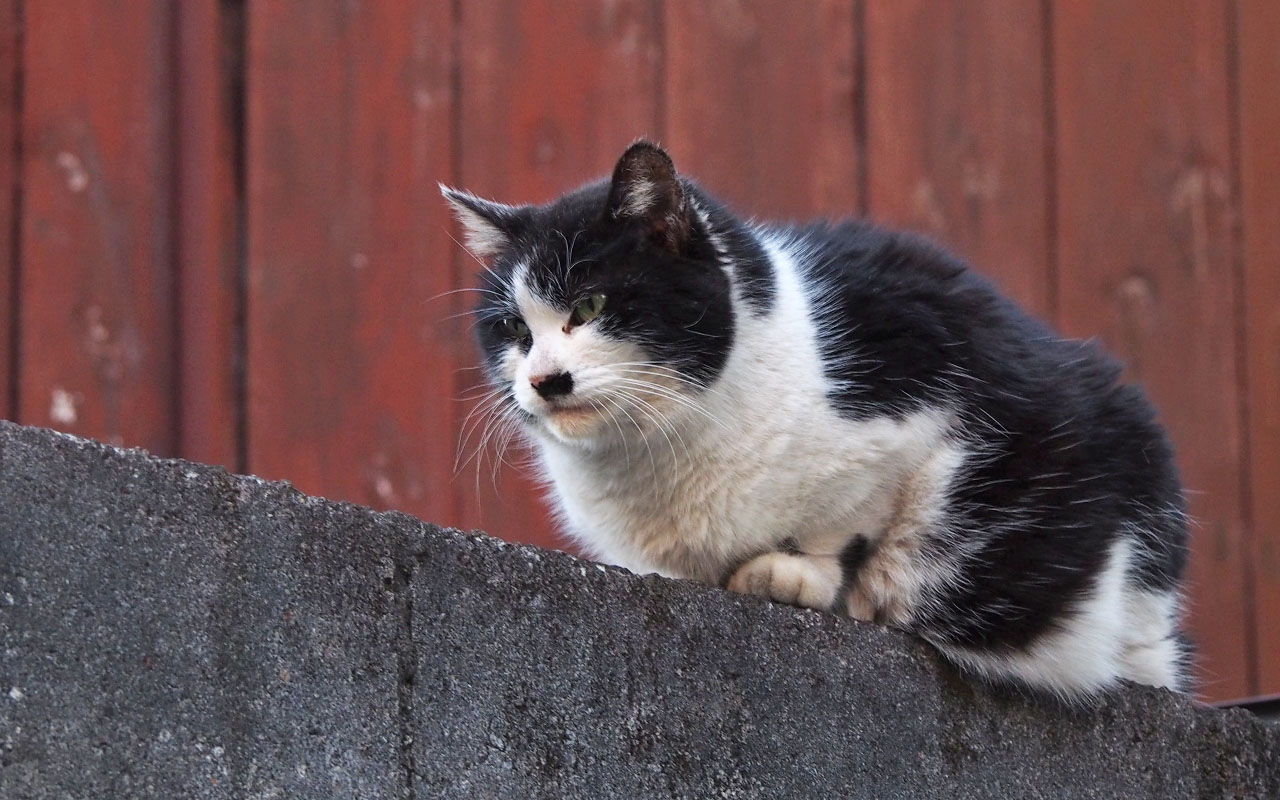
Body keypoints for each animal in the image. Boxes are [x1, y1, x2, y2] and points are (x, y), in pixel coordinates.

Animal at [440, 140, 1187, 696]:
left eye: (590, 305)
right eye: (514, 330)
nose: (543, 380)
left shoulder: (919, 409)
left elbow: (857, 526)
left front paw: (796, 574)